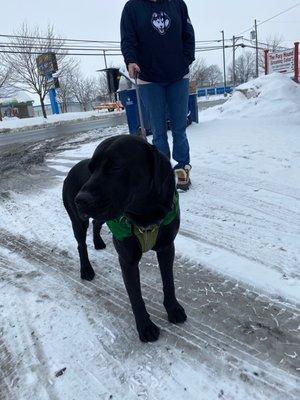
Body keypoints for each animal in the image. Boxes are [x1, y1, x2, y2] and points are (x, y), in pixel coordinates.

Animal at [62, 135, 186, 340]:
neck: (145, 213)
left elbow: (169, 282)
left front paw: (173, 309)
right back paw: (86, 269)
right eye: (91, 169)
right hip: (78, 221)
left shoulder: (167, 247)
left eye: (116, 167)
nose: (81, 199)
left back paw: (98, 242)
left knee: (97, 224)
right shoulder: (128, 259)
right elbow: (136, 296)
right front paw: (145, 327)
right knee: (81, 244)